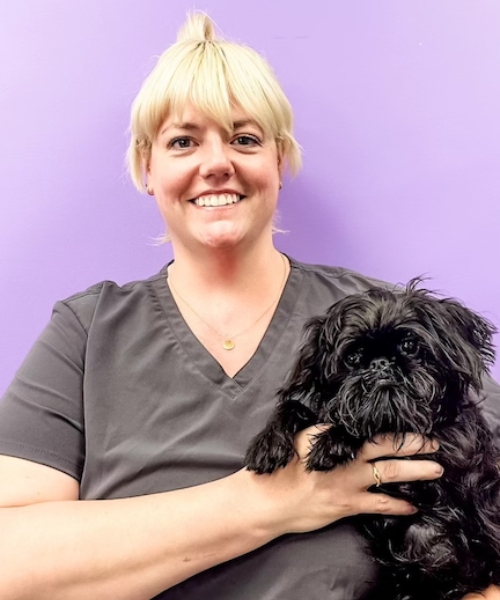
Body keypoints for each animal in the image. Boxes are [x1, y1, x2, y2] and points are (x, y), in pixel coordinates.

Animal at [245, 282, 500, 600]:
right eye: (353, 358)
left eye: (409, 346)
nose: (380, 364)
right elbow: (295, 406)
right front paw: (269, 443)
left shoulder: (442, 449)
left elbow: (367, 423)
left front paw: (335, 440)